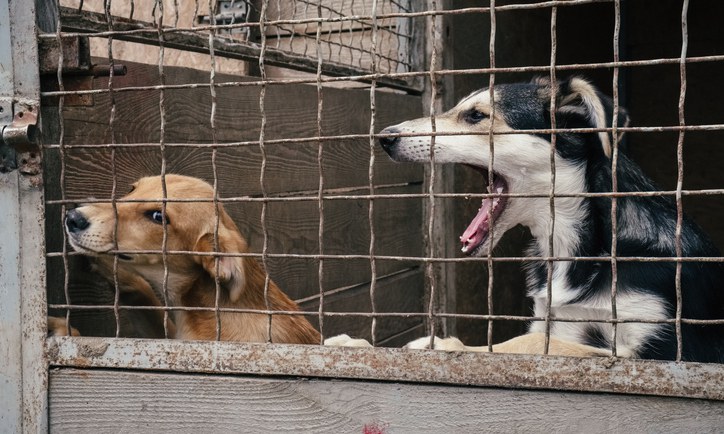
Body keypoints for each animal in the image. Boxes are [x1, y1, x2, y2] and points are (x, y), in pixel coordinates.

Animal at [374, 76, 724, 362]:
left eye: (475, 115)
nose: (384, 137)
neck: (574, 246)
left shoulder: (664, 348)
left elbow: (532, 344)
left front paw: (442, 345)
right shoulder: (553, 317)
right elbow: (538, 338)